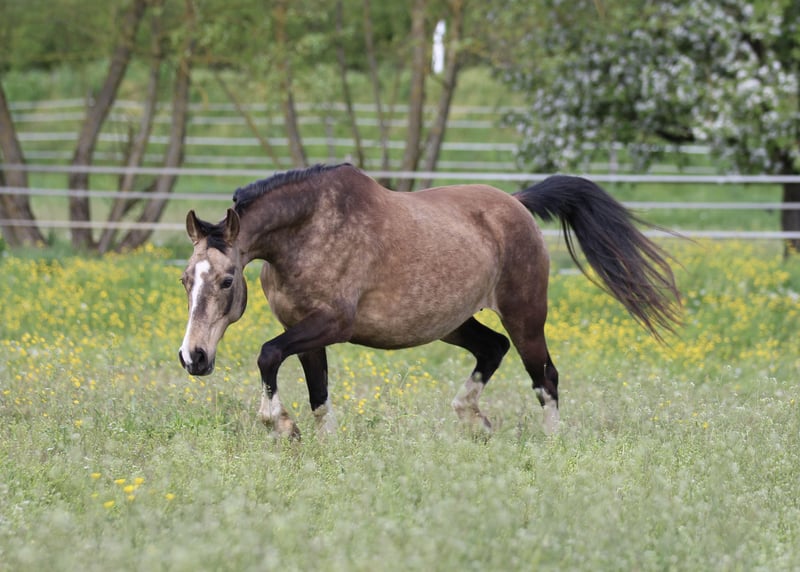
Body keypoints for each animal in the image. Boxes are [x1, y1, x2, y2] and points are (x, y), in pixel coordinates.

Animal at [178, 163, 680, 437]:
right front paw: (319, 442)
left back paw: (550, 441)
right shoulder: (303, 332)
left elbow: (267, 354)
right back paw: (473, 419)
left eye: (227, 280)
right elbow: (316, 394)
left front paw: (279, 423)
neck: (308, 230)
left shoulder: (333, 324)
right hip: (453, 323)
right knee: (492, 349)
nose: (193, 357)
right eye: (186, 279)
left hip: (525, 316)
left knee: (545, 377)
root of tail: (516, 202)